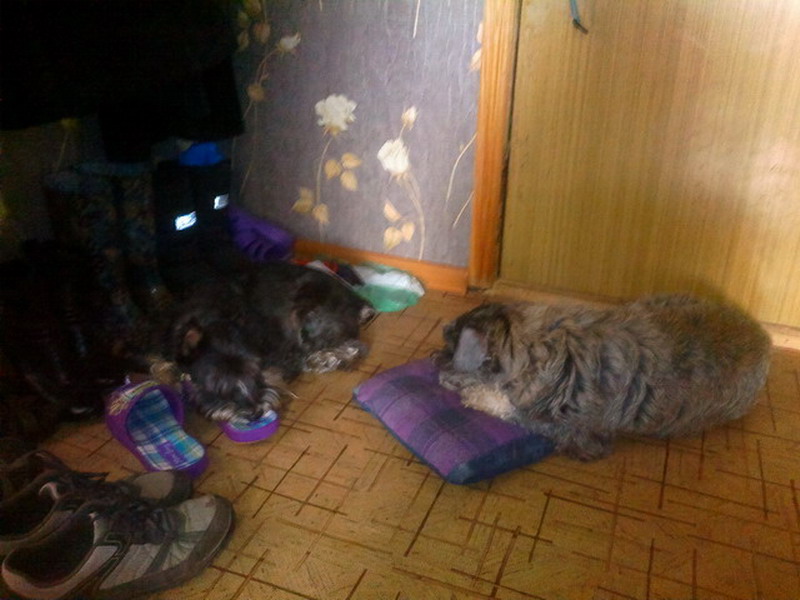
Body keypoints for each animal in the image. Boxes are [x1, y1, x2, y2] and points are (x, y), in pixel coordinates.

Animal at [139, 262, 375, 422]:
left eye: (255, 371)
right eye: (215, 382)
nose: (255, 413)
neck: (214, 318)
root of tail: (357, 301)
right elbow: (157, 366)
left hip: (308, 315)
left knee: (353, 347)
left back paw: (323, 359)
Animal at [434, 294, 772, 461]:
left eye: (450, 345)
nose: (434, 358)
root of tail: (766, 341)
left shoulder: (572, 432)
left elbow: (505, 406)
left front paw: (472, 393)